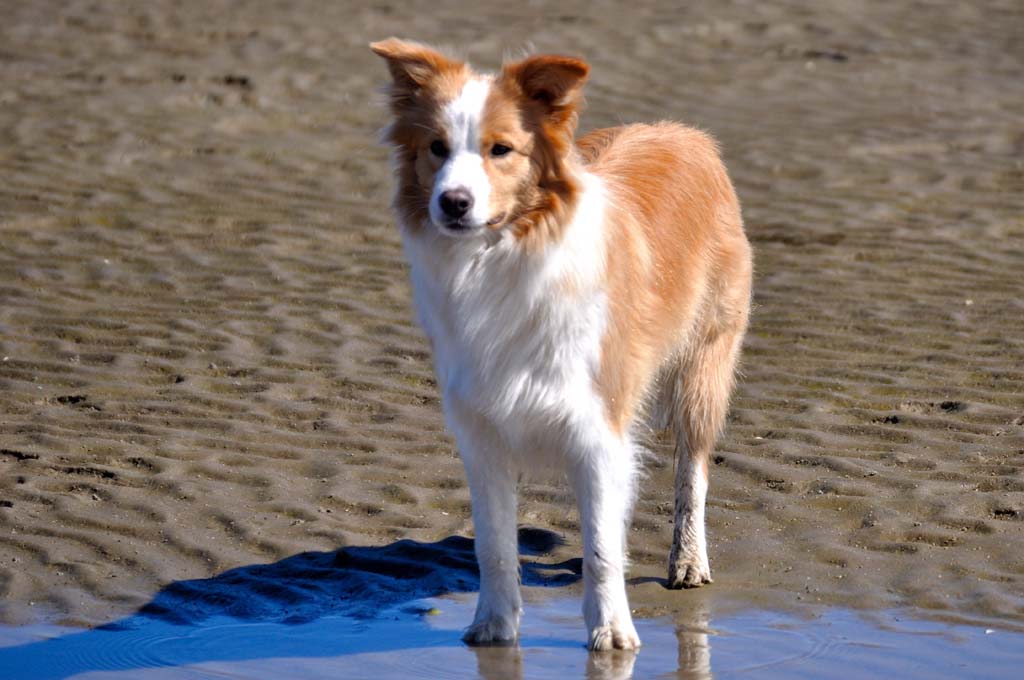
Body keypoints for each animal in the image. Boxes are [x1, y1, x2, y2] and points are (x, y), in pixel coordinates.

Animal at [370, 38, 753, 655]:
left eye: (501, 149)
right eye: (437, 148)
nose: (453, 202)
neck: (502, 259)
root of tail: (684, 132)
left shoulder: (598, 428)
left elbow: (600, 547)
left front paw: (613, 633)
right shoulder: (481, 431)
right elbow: (494, 546)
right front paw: (494, 627)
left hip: (704, 362)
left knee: (692, 467)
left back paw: (689, 561)